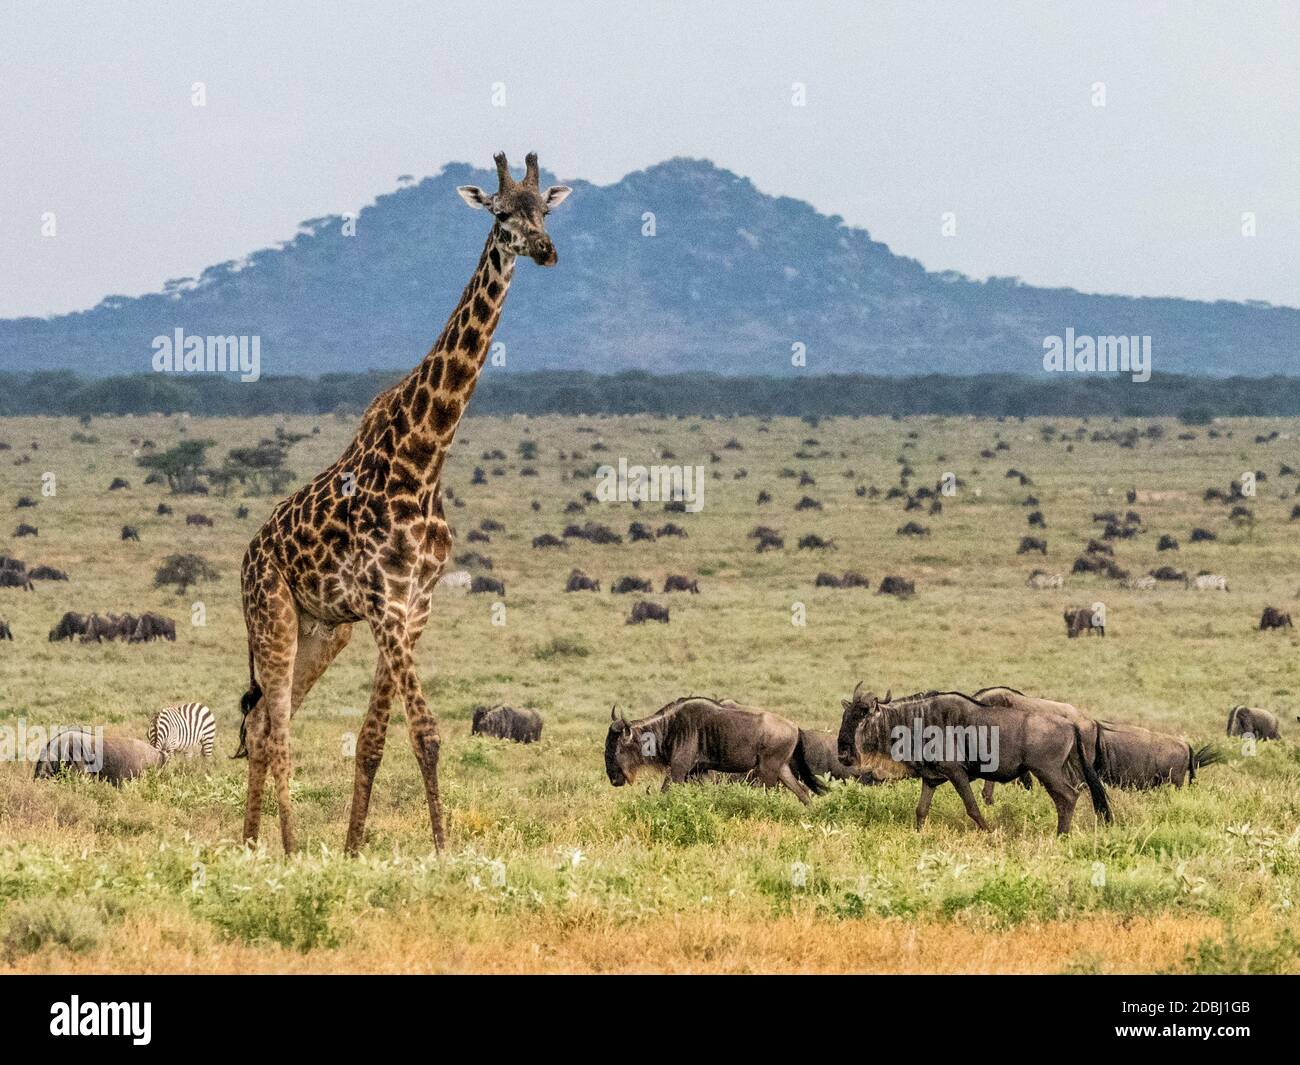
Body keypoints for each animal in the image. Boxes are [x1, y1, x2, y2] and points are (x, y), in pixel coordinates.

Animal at [235, 151, 571, 855]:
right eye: (503, 213)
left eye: (546, 212)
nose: (546, 250)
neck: (425, 457)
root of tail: (246, 557)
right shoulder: (386, 604)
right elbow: (426, 733)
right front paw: (442, 851)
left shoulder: (414, 605)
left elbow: (373, 739)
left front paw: (354, 848)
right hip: (271, 615)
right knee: (274, 727)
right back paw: (286, 848)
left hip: (323, 630)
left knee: (262, 724)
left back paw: (251, 844)